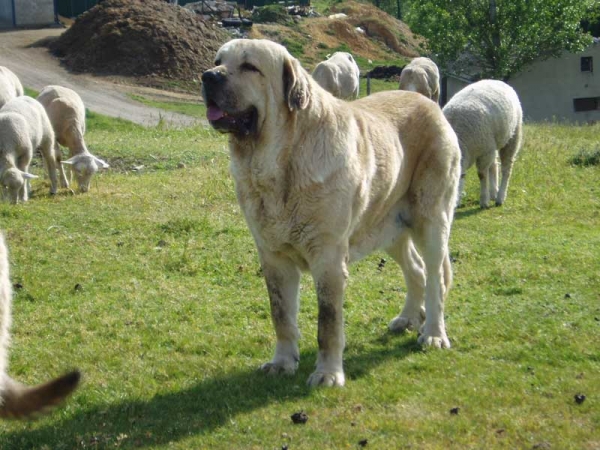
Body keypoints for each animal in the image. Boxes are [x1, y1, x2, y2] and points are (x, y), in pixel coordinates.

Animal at [202, 39, 460, 386]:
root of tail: (431, 105)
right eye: (218, 60)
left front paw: (327, 374)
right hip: (387, 226)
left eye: (249, 67)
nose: (208, 76)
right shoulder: (274, 258)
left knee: (435, 277)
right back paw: (407, 318)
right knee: (416, 269)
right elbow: (281, 315)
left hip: (431, 220)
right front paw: (282, 362)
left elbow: (328, 322)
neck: (279, 163)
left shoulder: (328, 258)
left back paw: (433, 333)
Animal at [440, 79, 524, 209]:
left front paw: (484, 201)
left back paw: (500, 197)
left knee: (506, 169)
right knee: (494, 165)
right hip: (492, 143)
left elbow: (482, 175)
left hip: (512, 137)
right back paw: (493, 193)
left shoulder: (484, 153)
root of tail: (495, 80)